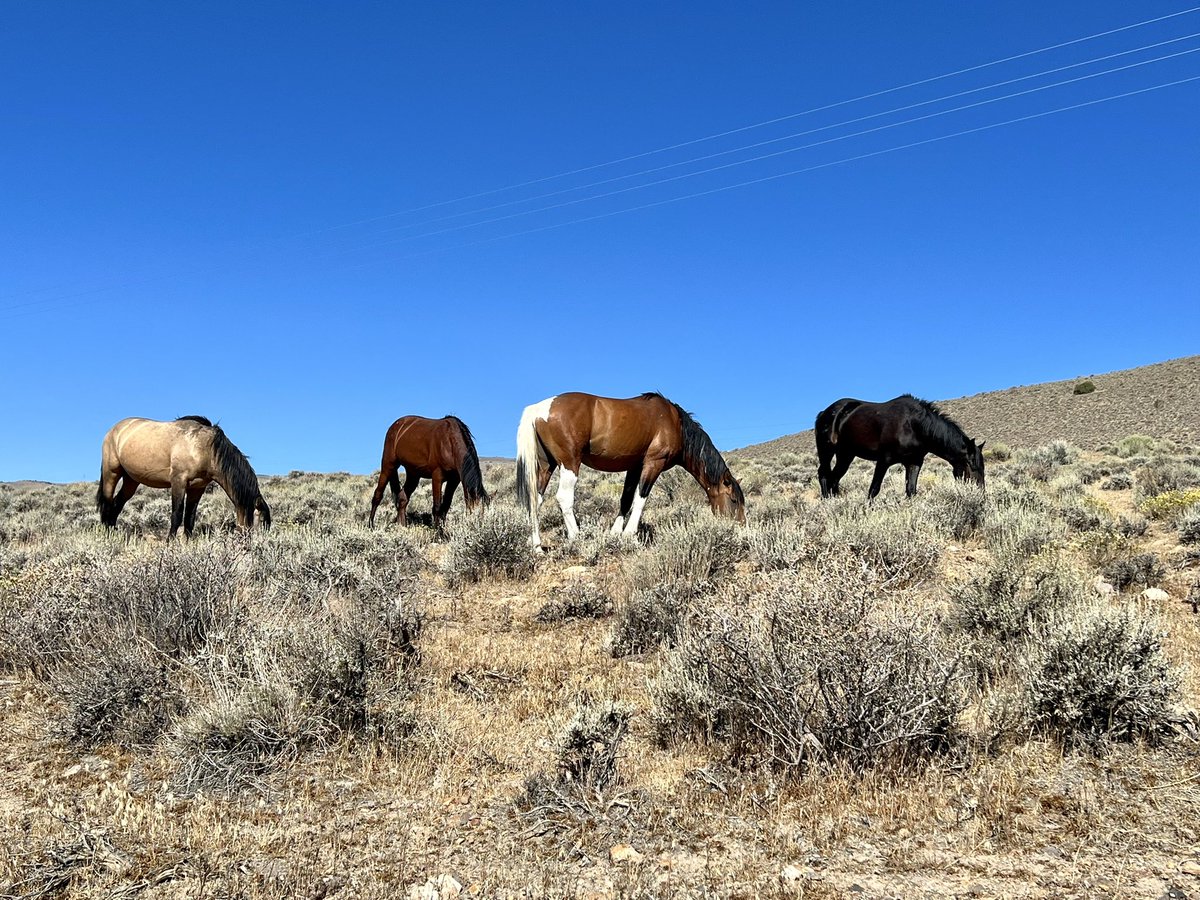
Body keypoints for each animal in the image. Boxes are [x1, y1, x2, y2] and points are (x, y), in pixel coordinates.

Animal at [97, 415, 272, 538]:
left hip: (131, 480)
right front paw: (170, 542)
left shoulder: (197, 488)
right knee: (107, 501)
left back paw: (113, 531)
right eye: (262, 522)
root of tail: (115, 429)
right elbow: (177, 514)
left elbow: (190, 517)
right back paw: (107, 534)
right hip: (112, 472)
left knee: (117, 504)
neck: (205, 449)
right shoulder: (178, 482)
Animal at [515, 392, 745, 550]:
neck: (674, 423)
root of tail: (539, 409)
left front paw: (615, 533)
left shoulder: (634, 467)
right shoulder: (653, 463)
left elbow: (625, 500)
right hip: (569, 464)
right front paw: (629, 535)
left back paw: (536, 546)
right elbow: (641, 498)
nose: (741, 527)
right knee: (564, 497)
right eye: (734, 500)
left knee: (535, 500)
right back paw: (577, 537)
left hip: (547, 465)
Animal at [815, 395, 985, 499]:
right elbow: (873, 490)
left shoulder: (914, 463)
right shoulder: (883, 461)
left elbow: (911, 490)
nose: (980, 494)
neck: (914, 426)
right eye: (972, 465)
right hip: (827, 451)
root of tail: (825, 412)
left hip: (846, 454)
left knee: (834, 478)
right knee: (824, 474)